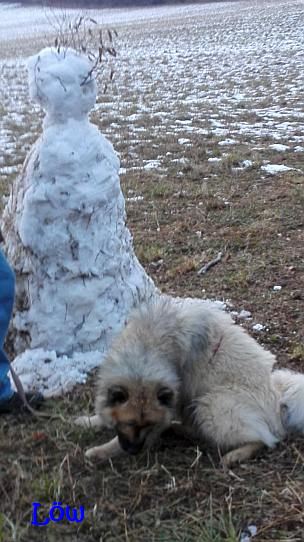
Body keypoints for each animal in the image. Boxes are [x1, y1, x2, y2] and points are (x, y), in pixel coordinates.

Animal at [75, 298, 304, 468]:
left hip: (211, 404)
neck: (149, 345)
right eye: (129, 423)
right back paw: (182, 429)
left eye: (148, 424)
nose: (133, 450)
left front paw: (102, 451)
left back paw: (235, 455)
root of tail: (278, 399)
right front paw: (89, 422)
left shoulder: (170, 403)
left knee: (265, 440)